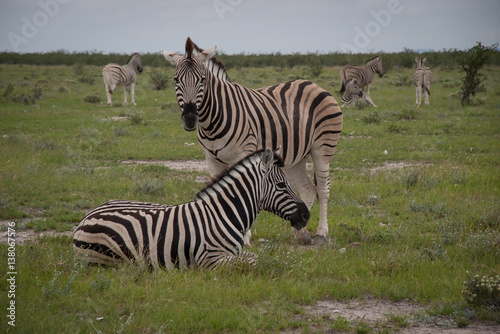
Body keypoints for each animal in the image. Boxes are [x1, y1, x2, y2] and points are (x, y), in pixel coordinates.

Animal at [73, 148, 308, 268]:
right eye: (281, 185)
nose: (306, 215)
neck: (224, 214)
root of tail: (88, 215)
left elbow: (254, 257)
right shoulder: (210, 259)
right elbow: (253, 260)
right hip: (112, 257)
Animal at [162, 37, 342, 244]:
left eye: (202, 79)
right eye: (176, 80)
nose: (190, 118)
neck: (212, 120)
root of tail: (313, 84)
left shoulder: (245, 152)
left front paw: (245, 236)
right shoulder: (212, 160)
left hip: (323, 148)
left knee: (323, 189)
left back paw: (321, 232)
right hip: (296, 157)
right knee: (308, 189)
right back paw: (300, 232)